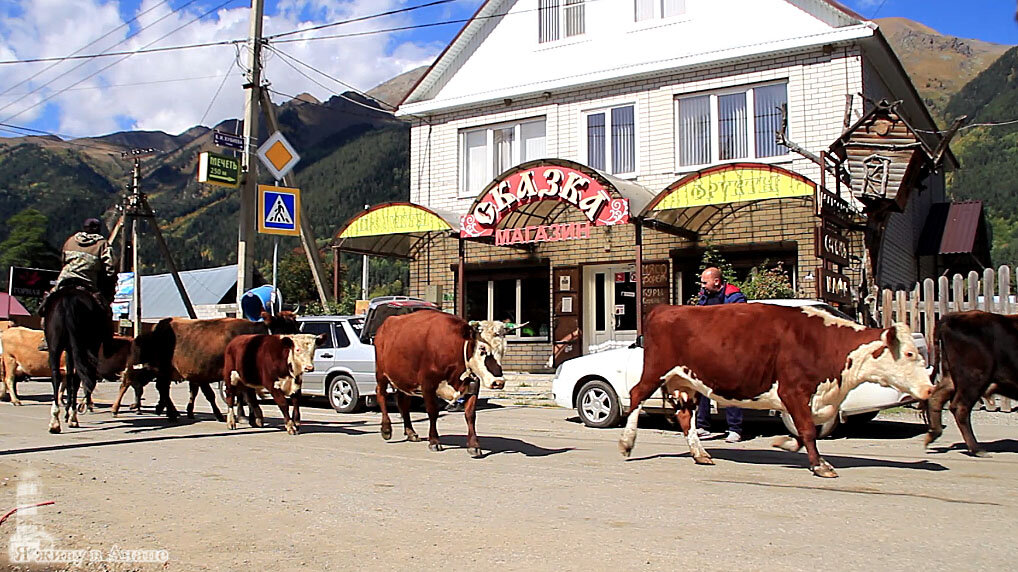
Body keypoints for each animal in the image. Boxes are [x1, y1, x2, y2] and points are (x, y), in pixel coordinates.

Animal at [0, 325, 133, 405]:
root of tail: (7, 331)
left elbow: (64, 386)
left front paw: (62, 401)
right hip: (10, 359)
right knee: (9, 379)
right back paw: (15, 400)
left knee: (5, 379)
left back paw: (4, 396)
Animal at [116, 309, 297, 421]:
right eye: (281, 329)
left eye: (295, 327)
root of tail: (157, 327)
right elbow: (242, 393)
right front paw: (250, 416)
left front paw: (247, 416)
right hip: (161, 368)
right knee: (154, 386)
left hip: (163, 371)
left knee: (160, 388)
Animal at [614, 303, 932, 476]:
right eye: (908, 354)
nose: (929, 389)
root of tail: (667, 308)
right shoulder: (794, 390)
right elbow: (807, 429)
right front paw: (820, 465)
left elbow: (806, 430)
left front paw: (784, 444)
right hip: (657, 370)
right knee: (636, 395)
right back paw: (627, 443)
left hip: (687, 382)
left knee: (684, 415)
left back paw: (700, 453)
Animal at [924, 309, 1018, 455]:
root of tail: (953, 317)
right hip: (974, 380)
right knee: (960, 407)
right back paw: (977, 449)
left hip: (952, 378)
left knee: (936, 397)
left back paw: (933, 434)